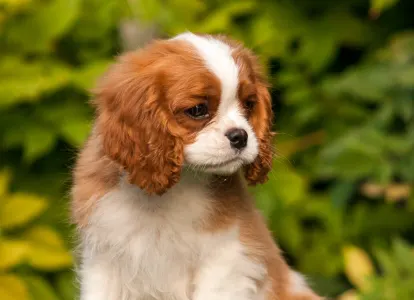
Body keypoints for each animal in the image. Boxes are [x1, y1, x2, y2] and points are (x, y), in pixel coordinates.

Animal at [72, 32, 324, 300]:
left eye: (249, 104)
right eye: (197, 110)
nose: (241, 136)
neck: (172, 191)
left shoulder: (227, 260)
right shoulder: (104, 262)